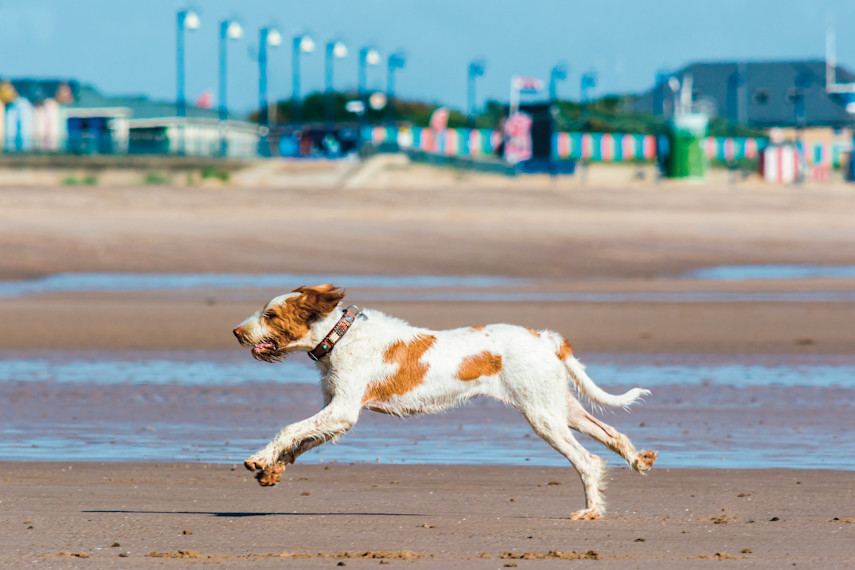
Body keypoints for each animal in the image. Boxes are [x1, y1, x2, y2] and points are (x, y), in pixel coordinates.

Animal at [231, 282, 660, 516]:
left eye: (271, 315)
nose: (236, 332)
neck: (341, 335)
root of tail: (547, 338)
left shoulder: (343, 410)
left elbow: (290, 429)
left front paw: (259, 458)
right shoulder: (335, 412)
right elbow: (300, 441)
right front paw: (272, 469)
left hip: (543, 416)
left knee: (587, 460)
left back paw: (591, 511)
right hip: (560, 406)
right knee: (610, 433)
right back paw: (639, 460)